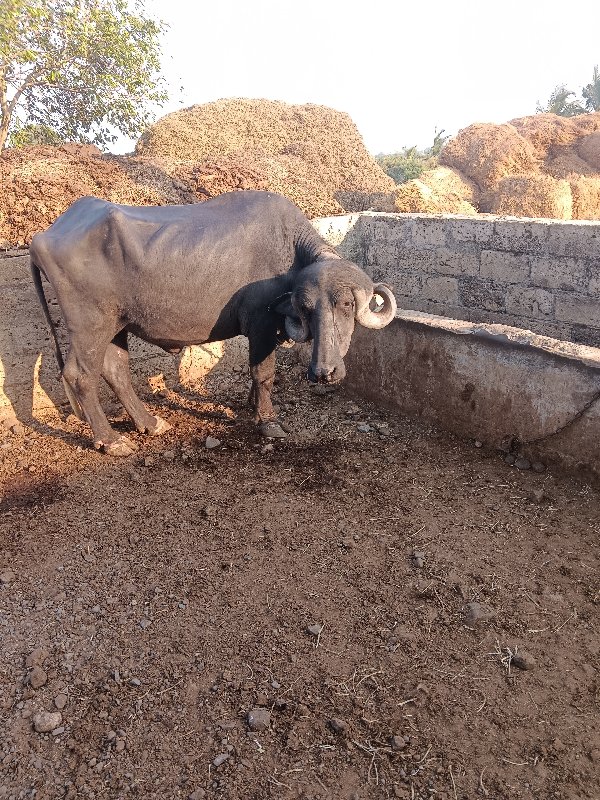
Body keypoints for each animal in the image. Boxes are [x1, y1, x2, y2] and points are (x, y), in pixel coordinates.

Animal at [30, 189, 396, 456]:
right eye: (306, 308)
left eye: (346, 304)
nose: (323, 373)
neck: (289, 248)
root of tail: (43, 237)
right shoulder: (261, 326)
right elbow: (264, 373)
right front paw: (268, 421)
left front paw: (252, 406)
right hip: (90, 325)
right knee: (80, 375)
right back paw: (111, 441)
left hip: (116, 324)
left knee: (115, 369)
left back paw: (149, 422)